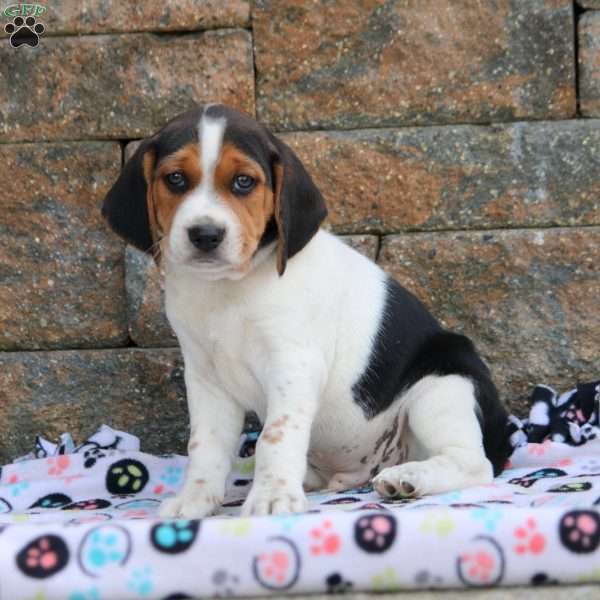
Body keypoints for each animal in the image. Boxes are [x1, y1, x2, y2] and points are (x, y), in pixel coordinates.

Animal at [103, 103, 510, 516]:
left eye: (244, 182)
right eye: (175, 179)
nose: (205, 234)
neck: (228, 289)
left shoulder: (292, 364)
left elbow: (274, 435)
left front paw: (271, 496)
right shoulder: (206, 378)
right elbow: (205, 445)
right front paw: (195, 500)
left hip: (444, 384)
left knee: (473, 463)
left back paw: (407, 477)